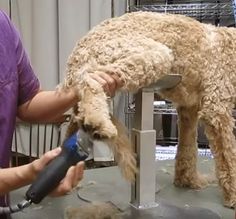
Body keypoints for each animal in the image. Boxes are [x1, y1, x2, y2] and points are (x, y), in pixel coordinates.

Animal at [59, 11, 236, 207]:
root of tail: (76, 54)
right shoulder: (217, 109)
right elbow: (229, 157)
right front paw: (233, 197)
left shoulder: (188, 109)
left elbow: (188, 149)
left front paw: (188, 180)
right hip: (152, 54)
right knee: (91, 80)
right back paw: (99, 124)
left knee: (74, 124)